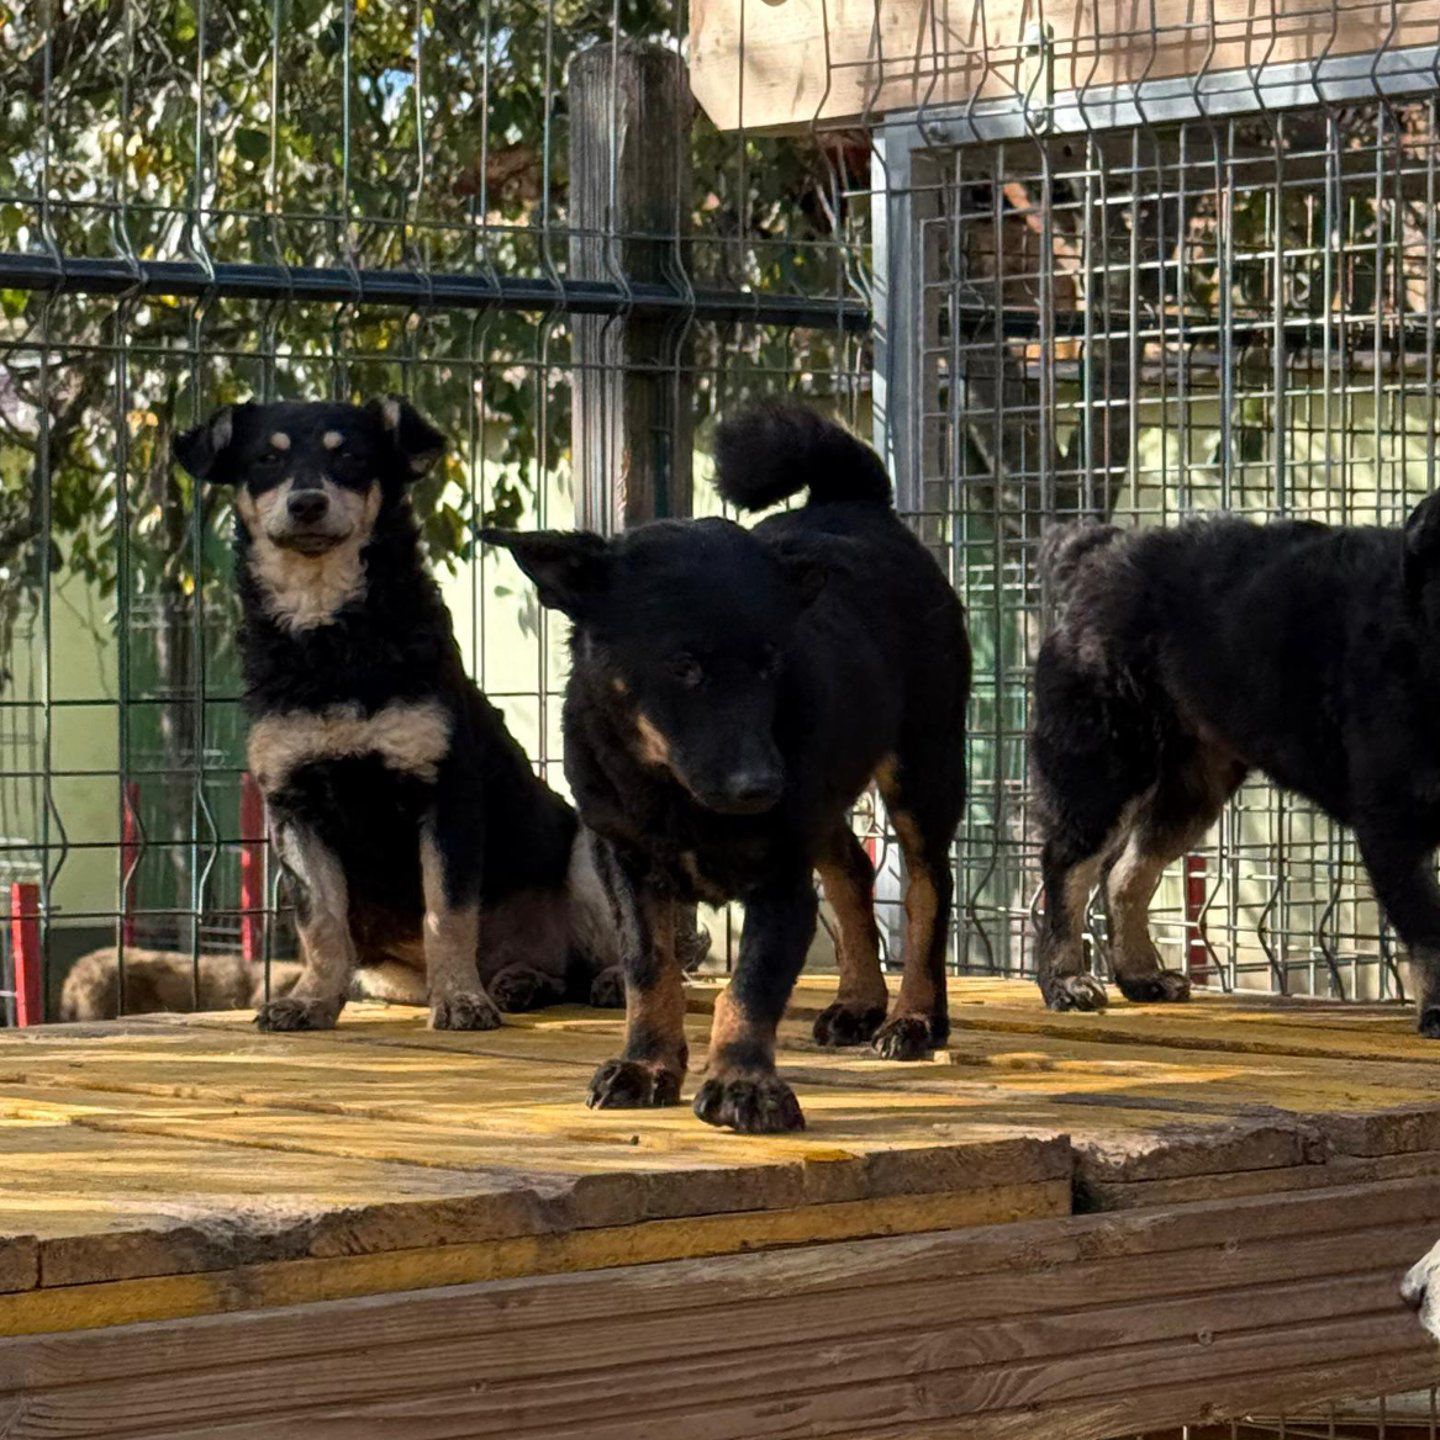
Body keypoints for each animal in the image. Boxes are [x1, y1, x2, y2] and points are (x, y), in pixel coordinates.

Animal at [174, 397, 621, 1031]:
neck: (330, 636)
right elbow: (321, 923)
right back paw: (520, 983)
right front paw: (309, 1001)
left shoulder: (445, 793)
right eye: (266, 458)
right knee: (556, 976)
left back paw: (599, 980)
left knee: (623, 949)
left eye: (351, 457)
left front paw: (460, 1000)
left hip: (588, 847)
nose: (306, 503)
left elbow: (448, 913)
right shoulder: (294, 806)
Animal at [485, 405, 971, 1132]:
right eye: (683, 667)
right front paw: (646, 1064)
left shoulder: (781, 875)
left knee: (926, 887)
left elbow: (752, 984)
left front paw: (744, 1083)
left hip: (922, 764)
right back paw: (859, 1002)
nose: (760, 786)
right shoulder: (625, 862)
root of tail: (854, 501)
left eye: (772, 662)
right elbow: (648, 967)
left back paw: (914, 1017)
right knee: (853, 872)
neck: (673, 792)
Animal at [1031, 503, 1440, 1030]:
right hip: (1105, 769)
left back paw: (1141, 976)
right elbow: (1430, 929)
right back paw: (1065, 981)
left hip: (1191, 790)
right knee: (1069, 866)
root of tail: (1101, 556)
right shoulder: (1393, 824)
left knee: (1126, 873)